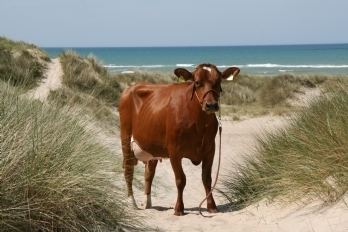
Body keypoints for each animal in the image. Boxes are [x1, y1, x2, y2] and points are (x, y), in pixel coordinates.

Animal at [119, 63, 239, 216]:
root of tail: (131, 87)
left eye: (218, 82)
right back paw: (132, 202)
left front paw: (212, 206)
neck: (198, 123)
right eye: (197, 82)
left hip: (152, 147)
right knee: (128, 169)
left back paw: (148, 204)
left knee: (149, 173)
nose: (211, 105)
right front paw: (179, 208)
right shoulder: (174, 151)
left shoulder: (210, 149)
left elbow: (207, 178)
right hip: (125, 137)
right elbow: (180, 179)